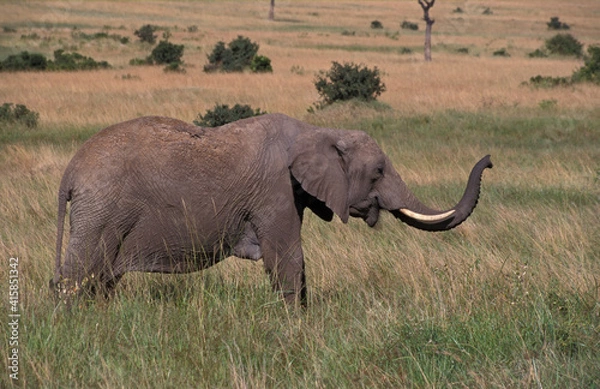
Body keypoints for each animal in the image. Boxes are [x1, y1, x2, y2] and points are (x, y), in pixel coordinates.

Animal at [51, 113, 492, 304]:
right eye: (379, 171)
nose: (488, 160)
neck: (319, 130)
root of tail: (69, 173)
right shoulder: (275, 191)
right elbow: (287, 258)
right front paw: (297, 324)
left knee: (101, 279)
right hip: (101, 209)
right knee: (79, 273)